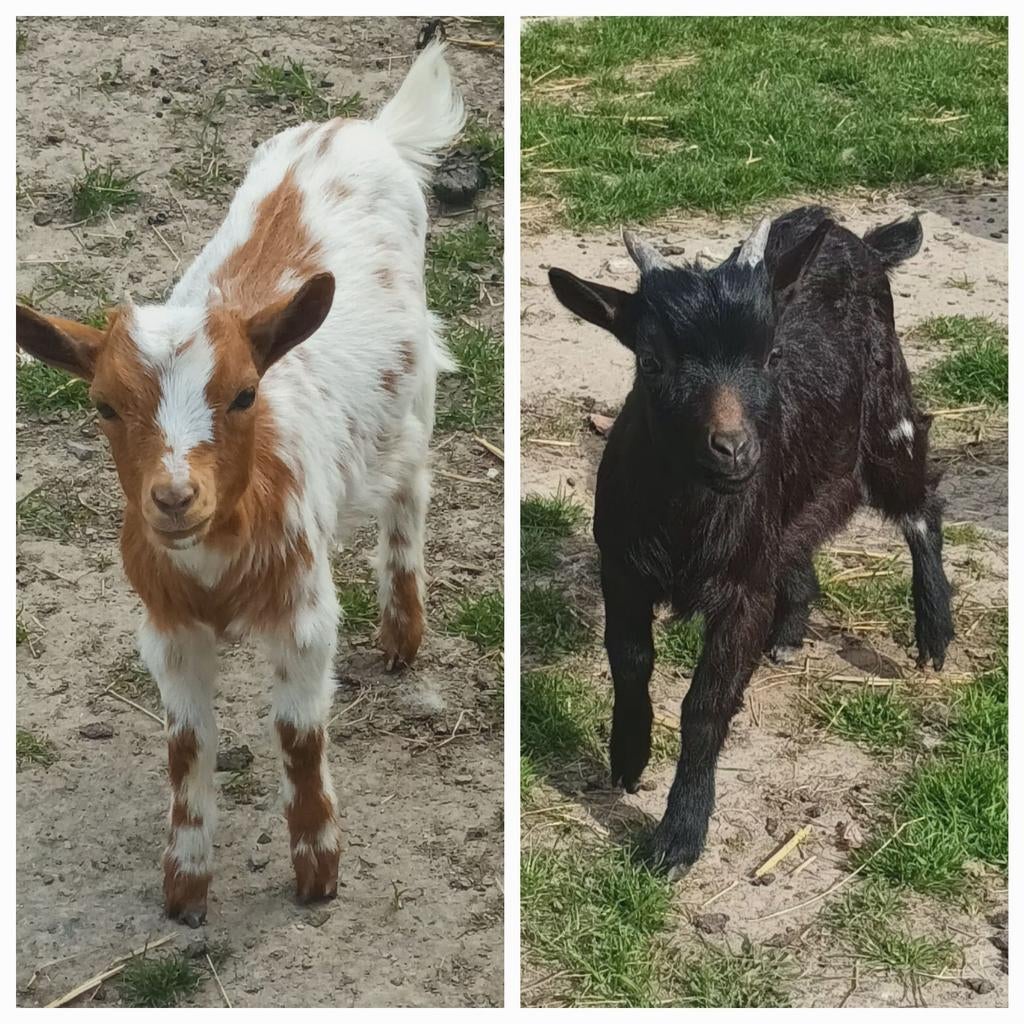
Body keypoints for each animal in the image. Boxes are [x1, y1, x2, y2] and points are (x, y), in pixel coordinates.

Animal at [15, 42, 464, 924]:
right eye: (103, 404)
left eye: (245, 394)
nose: (173, 497)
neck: (216, 557)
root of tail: (356, 128)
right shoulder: (168, 629)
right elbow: (187, 748)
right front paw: (184, 889)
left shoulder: (302, 616)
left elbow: (299, 738)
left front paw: (319, 875)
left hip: (418, 391)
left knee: (409, 493)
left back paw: (403, 633)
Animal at [548, 206, 953, 877]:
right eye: (651, 362)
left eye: (770, 355)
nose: (734, 449)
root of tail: (862, 244)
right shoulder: (622, 568)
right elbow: (629, 662)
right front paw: (628, 758)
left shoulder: (740, 592)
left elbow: (706, 706)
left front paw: (678, 838)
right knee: (802, 538)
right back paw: (790, 630)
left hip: (888, 418)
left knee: (922, 509)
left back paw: (934, 632)